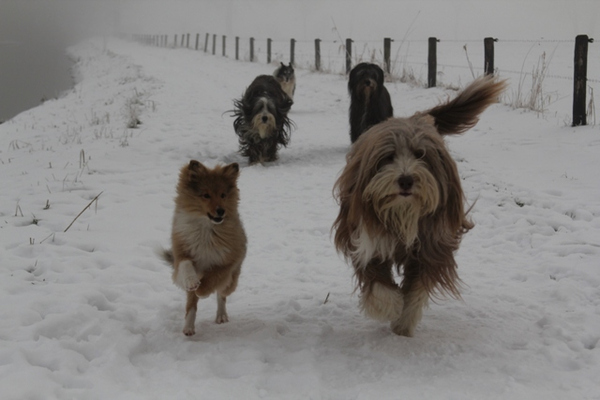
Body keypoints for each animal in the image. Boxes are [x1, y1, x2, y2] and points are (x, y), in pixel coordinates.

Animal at [158, 161, 247, 336]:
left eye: (223, 195)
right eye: (206, 195)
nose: (221, 211)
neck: (207, 228)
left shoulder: (227, 261)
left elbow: (214, 277)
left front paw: (202, 290)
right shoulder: (182, 251)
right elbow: (185, 265)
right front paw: (193, 282)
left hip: (232, 281)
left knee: (222, 294)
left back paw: (221, 315)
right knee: (191, 304)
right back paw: (188, 327)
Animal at [332, 76, 506, 338]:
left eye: (420, 155)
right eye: (389, 157)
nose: (406, 180)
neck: (402, 213)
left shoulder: (431, 246)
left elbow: (417, 289)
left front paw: (404, 322)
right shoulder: (367, 240)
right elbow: (378, 284)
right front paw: (391, 307)